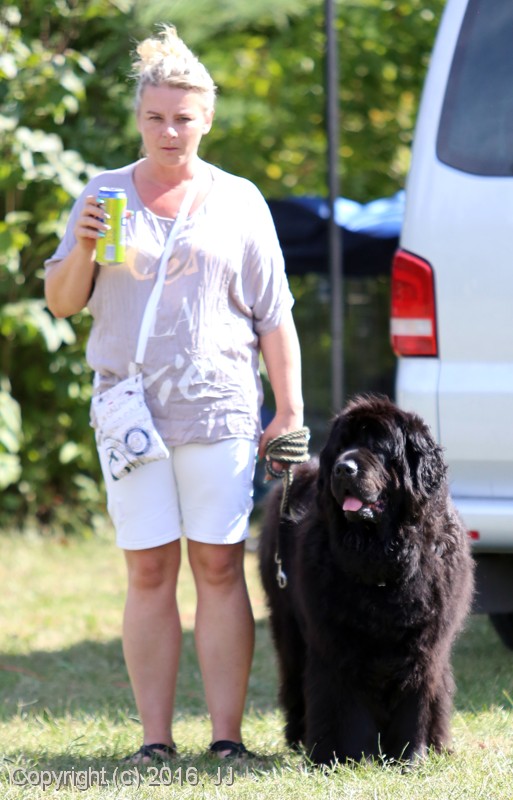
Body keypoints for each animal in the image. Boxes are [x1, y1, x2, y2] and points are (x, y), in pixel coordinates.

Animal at [259, 394, 474, 766]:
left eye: (378, 446)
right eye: (342, 446)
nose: (343, 468)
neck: (383, 557)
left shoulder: (424, 645)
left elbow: (416, 700)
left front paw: (411, 757)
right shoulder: (336, 643)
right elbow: (344, 705)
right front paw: (348, 758)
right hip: (288, 625)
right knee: (294, 677)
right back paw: (299, 737)